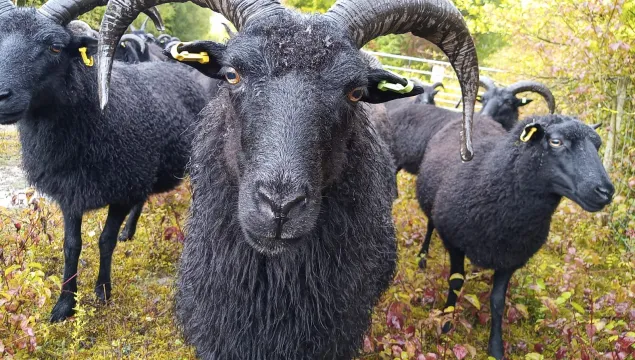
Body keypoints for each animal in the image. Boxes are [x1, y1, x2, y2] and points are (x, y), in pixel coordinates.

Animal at [0, 0, 211, 324]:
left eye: (55, 47)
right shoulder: (70, 193)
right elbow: (71, 246)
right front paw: (64, 305)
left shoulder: (122, 190)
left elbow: (104, 240)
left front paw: (102, 291)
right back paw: (129, 232)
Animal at [414, 114, 612, 358]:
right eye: (556, 142)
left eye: (598, 145)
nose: (606, 192)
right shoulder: (454, 243)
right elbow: (456, 283)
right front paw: (446, 323)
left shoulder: (511, 257)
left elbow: (498, 301)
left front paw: (495, 348)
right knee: (430, 225)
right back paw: (422, 257)